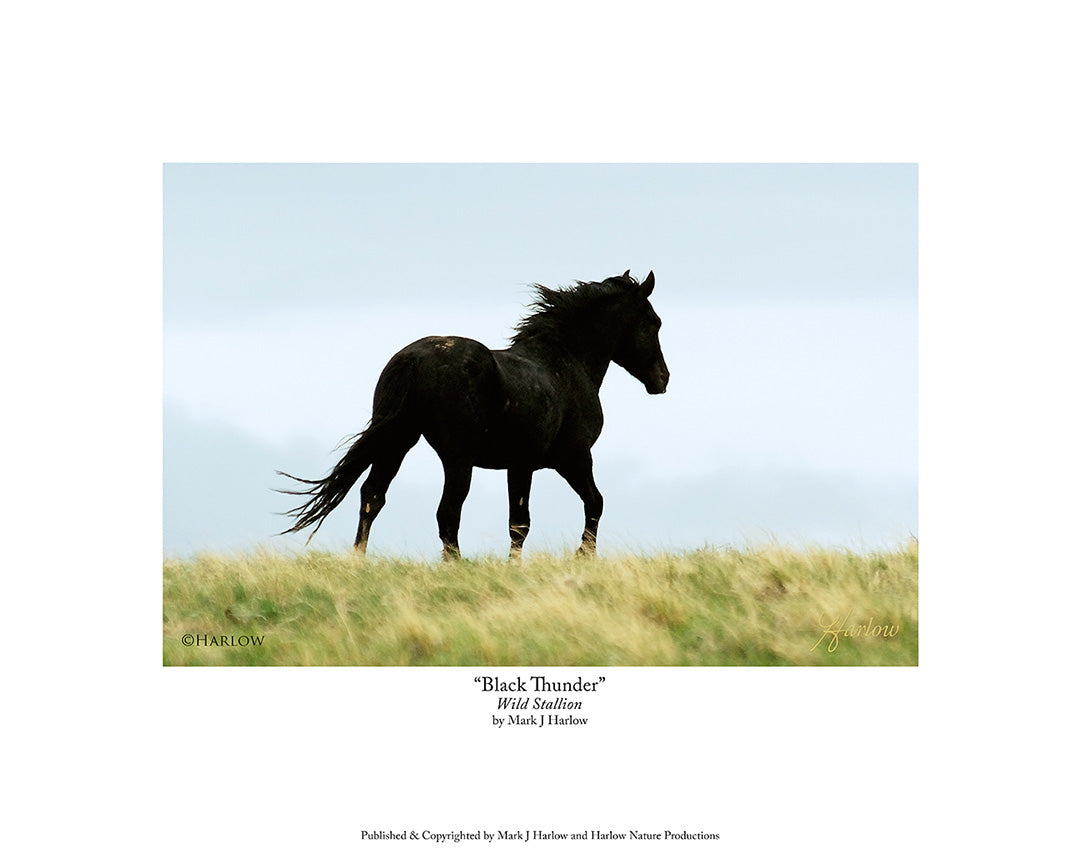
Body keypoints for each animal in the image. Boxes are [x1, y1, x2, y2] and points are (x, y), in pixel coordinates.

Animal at [277, 270, 669, 560]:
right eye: (654, 322)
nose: (662, 379)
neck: (564, 363)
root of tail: (414, 359)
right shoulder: (572, 457)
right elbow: (590, 503)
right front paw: (582, 556)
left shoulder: (520, 465)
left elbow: (520, 522)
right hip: (456, 458)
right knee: (447, 513)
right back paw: (455, 564)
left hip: (398, 442)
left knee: (373, 496)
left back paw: (359, 560)